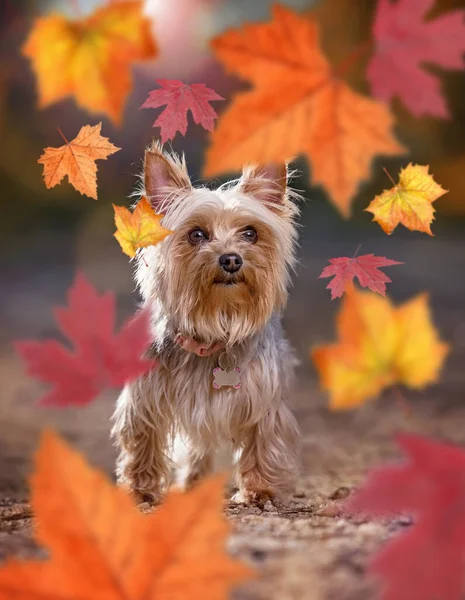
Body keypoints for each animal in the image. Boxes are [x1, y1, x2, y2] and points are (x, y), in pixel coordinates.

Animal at [112, 143, 300, 504]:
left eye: (250, 233)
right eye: (196, 234)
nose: (231, 259)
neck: (216, 327)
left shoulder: (264, 394)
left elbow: (263, 438)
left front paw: (259, 488)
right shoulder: (146, 396)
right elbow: (143, 439)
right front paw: (139, 489)